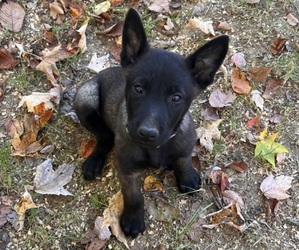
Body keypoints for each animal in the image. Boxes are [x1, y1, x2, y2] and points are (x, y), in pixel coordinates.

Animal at [74, 8, 230, 238]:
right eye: (138, 89)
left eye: (176, 98)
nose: (147, 133)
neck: (157, 147)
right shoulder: (127, 172)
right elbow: (134, 196)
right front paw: (133, 219)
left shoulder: (184, 144)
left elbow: (183, 159)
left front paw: (187, 176)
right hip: (85, 96)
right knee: (105, 136)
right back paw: (95, 160)